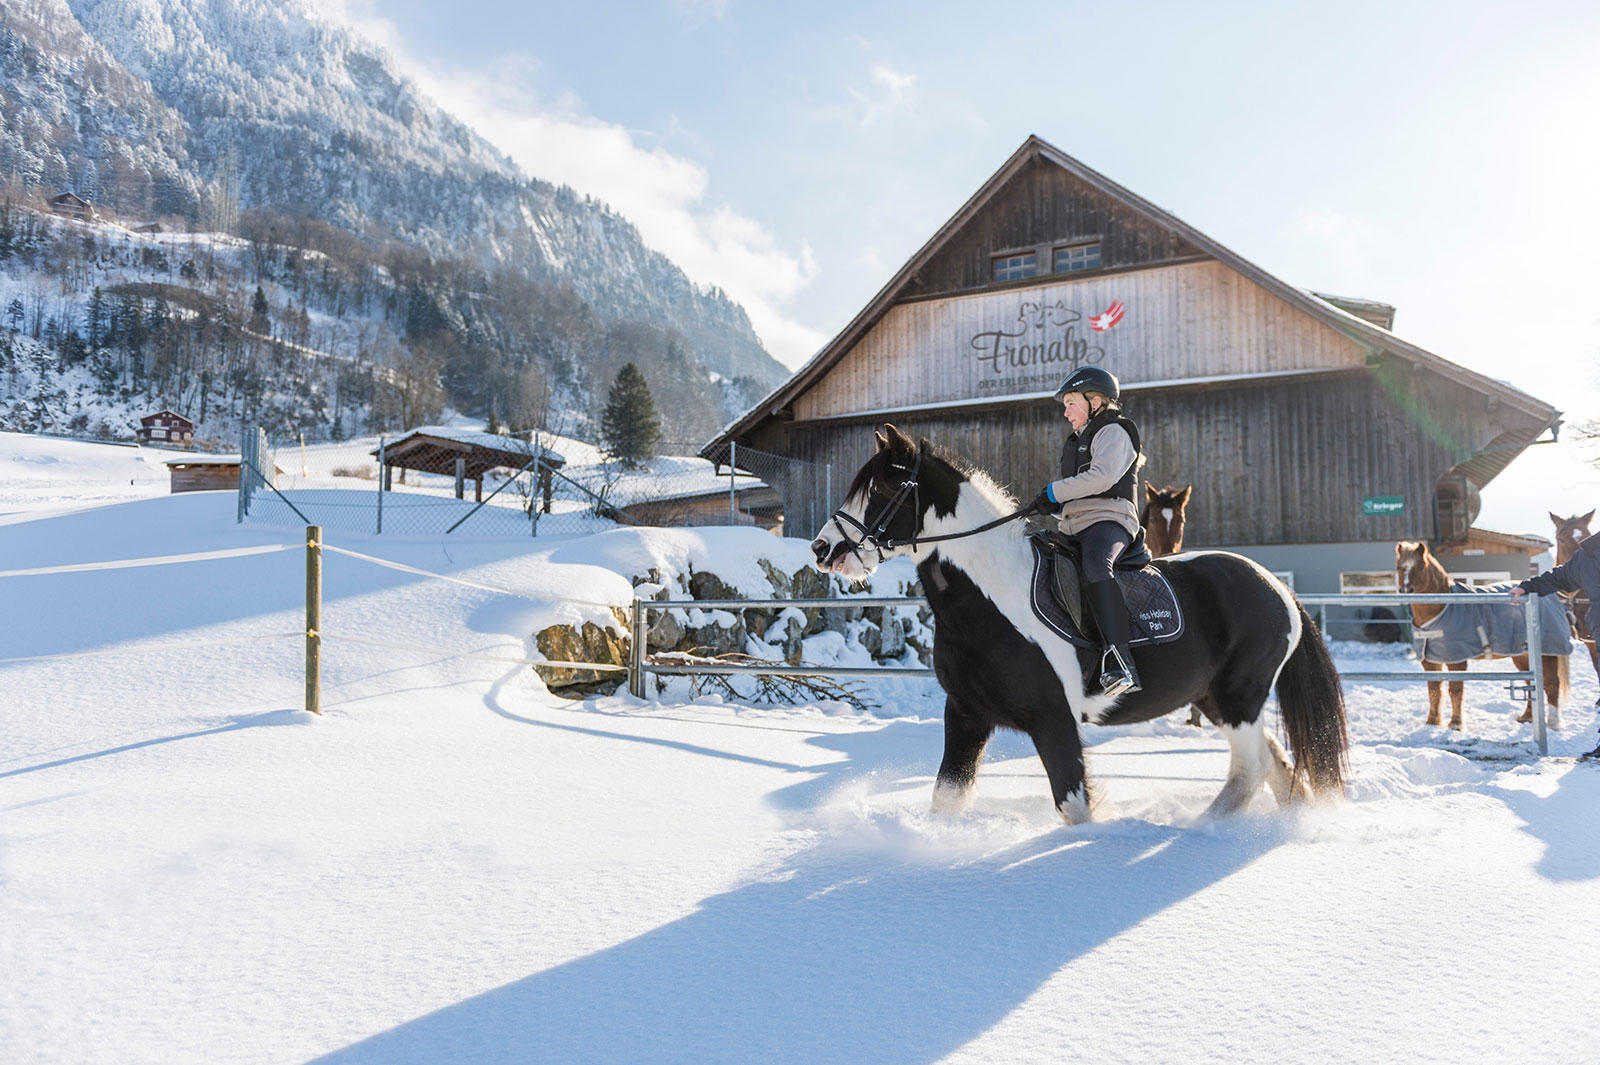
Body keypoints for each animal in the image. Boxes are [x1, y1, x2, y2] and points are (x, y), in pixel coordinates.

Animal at [812, 425, 1350, 818]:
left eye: (883, 486)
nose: (823, 549)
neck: (992, 596)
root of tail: (1277, 587)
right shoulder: (966, 714)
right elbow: (945, 801)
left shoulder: (1054, 719)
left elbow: (1074, 808)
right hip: (1217, 698)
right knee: (1274, 763)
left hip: (1239, 696)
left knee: (1252, 767)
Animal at [1395, 540, 1568, 729]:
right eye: (1398, 567)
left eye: (1420, 566)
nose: (1406, 590)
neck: (1441, 609)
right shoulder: (1429, 661)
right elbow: (1434, 690)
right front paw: (1432, 723)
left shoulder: (1457, 660)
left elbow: (1455, 690)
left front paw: (1455, 725)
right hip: (1522, 656)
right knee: (1531, 683)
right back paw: (1527, 717)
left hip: (1547, 653)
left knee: (1552, 684)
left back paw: (1553, 723)